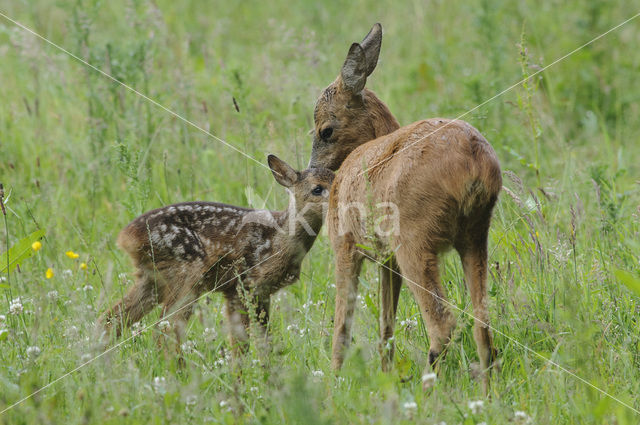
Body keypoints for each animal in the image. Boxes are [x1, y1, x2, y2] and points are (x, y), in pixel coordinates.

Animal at [101, 155, 336, 352]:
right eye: (317, 189)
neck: (278, 239)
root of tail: (126, 236)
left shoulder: (251, 292)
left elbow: (261, 342)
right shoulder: (245, 284)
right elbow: (243, 344)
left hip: (152, 278)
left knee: (111, 319)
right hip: (187, 271)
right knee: (166, 329)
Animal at [308, 21, 502, 390]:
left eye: (325, 130)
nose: (313, 170)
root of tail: (474, 164)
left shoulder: (346, 244)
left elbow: (342, 328)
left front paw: (333, 384)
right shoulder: (387, 259)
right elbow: (386, 324)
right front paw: (384, 377)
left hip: (415, 240)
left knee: (443, 323)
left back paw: (427, 391)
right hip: (475, 235)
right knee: (482, 320)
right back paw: (487, 394)